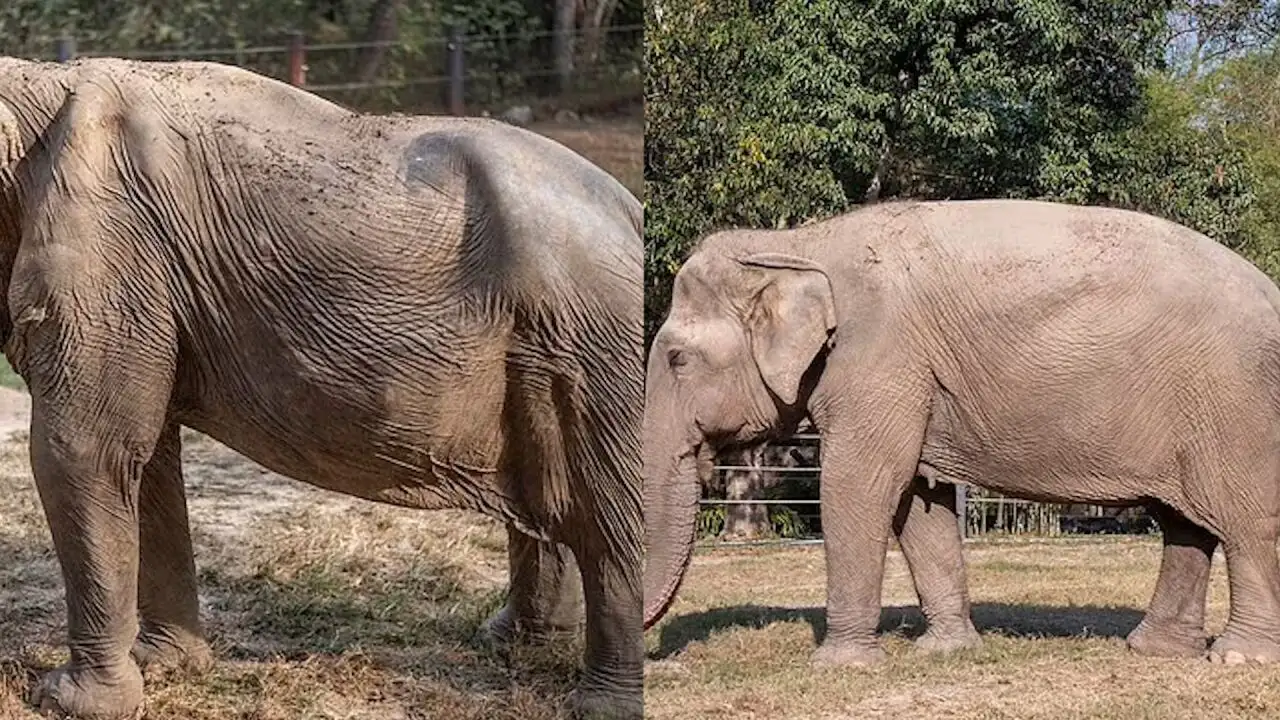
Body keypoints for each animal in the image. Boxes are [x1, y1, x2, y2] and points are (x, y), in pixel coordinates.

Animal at [0, 57, 640, 717]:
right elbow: (145, 457)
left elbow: (85, 450)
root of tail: (629, 205)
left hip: (597, 343)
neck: (36, 86)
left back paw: (599, 703)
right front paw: (167, 666)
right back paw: (512, 645)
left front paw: (67, 700)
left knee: (613, 515)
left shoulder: (109, 249)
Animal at [645, 197, 1280, 666]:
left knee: (1242, 518)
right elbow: (918, 499)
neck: (797, 245)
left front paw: (841, 665)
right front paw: (945, 651)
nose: (659, 657)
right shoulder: (915, 376)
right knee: (1185, 523)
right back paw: (1155, 651)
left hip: (1234, 402)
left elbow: (862, 484)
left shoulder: (880, 358)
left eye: (677, 359)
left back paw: (1237, 658)